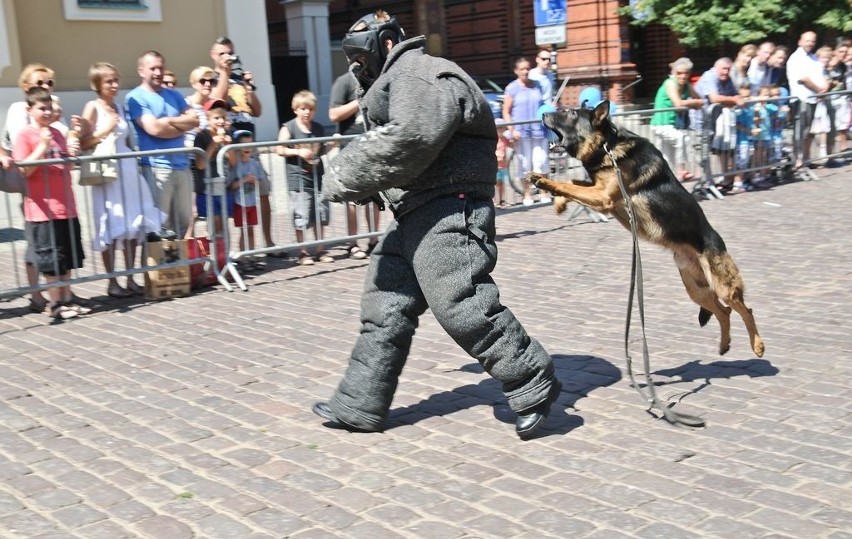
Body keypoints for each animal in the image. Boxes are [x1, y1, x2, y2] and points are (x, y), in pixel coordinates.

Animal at [524, 103, 764, 360]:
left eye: (570, 113)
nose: (543, 114)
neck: (608, 144)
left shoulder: (603, 196)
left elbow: (566, 184)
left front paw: (541, 180)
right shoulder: (598, 190)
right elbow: (572, 183)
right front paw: (559, 203)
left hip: (723, 287)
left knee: (745, 310)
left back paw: (758, 346)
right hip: (696, 290)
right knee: (724, 312)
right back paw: (724, 345)